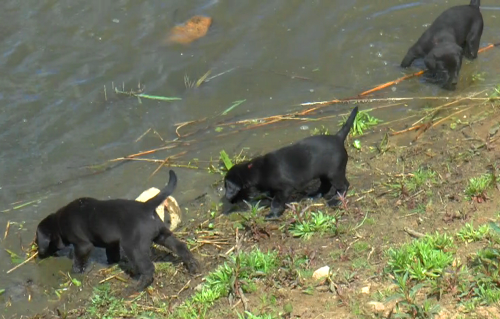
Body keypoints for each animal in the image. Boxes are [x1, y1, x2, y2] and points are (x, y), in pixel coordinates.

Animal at [34, 171, 199, 292]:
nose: (39, 254)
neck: (59, 222)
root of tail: (146, 206)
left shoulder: (82, 245)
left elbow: (78, 260)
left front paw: (75, 272)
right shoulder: (111, 243)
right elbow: (112, 254)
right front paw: (111, 263)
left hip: (133, 247)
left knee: (148, 268)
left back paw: (137, 287)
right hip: (162, 235)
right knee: (181, 247)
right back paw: (193, 266)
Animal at [224, 105, 360, 220]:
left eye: (227, 186)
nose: (227, 200)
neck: (256, 170)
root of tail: (337, 138)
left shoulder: (285, 189)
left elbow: (276, 202)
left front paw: (273, 214)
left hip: (335, 173)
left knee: (343, 186)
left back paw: (336, 200)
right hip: (324, 173)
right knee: (325, 185)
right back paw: (315, 195)